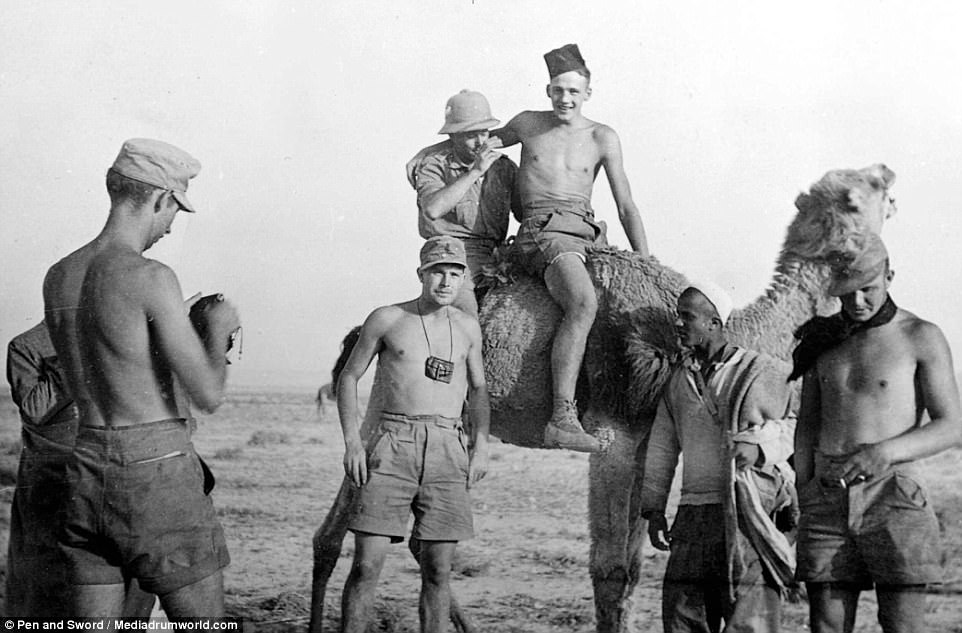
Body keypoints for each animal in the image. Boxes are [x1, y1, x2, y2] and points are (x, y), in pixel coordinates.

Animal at [309, 164, 896, 632]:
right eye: (856, 195)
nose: (889, 172)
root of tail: (359, 330)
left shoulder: (645, 438)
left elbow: (633, 565)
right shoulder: (611, 435)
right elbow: (610, 569)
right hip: (382, 402)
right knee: (337, 528)